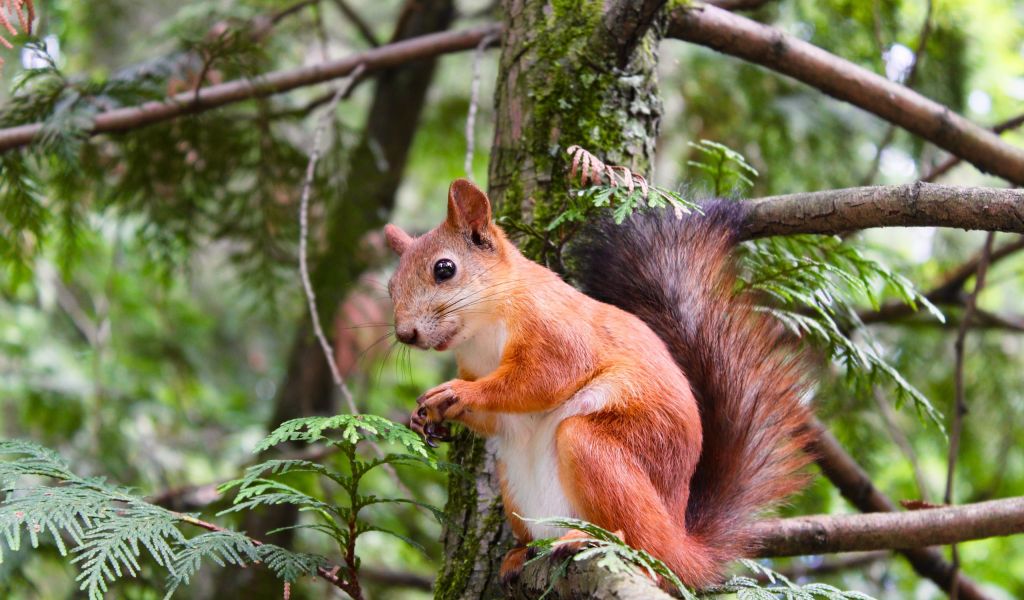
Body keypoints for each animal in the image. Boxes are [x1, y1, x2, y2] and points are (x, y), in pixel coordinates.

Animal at [385, 176, 815, 585]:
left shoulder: (557, 331)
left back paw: (591, 540)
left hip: (598, 450)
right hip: (515, 486)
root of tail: (682, 544)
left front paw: (458, 393)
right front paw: (426, 417)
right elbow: (497, 417)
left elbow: (540, 380)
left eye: (444, 269)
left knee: (643, 546)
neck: (483, 331)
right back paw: (520, 554)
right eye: (390, 287)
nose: (405, 334)